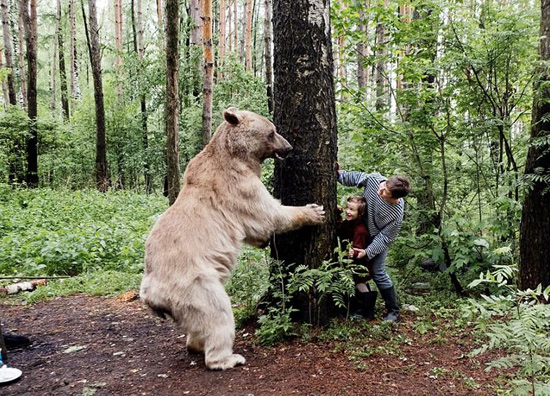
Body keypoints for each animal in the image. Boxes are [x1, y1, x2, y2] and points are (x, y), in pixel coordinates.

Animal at [139, 106, 328, 370]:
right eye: (272, 131)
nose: (289, 147)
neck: (236, 156)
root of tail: (150, 294)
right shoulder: (237, 186)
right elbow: (268, 215)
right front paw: (314, 211)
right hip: (194, 284)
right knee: (217, 313)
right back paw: (227, 357)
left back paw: (195, 345)